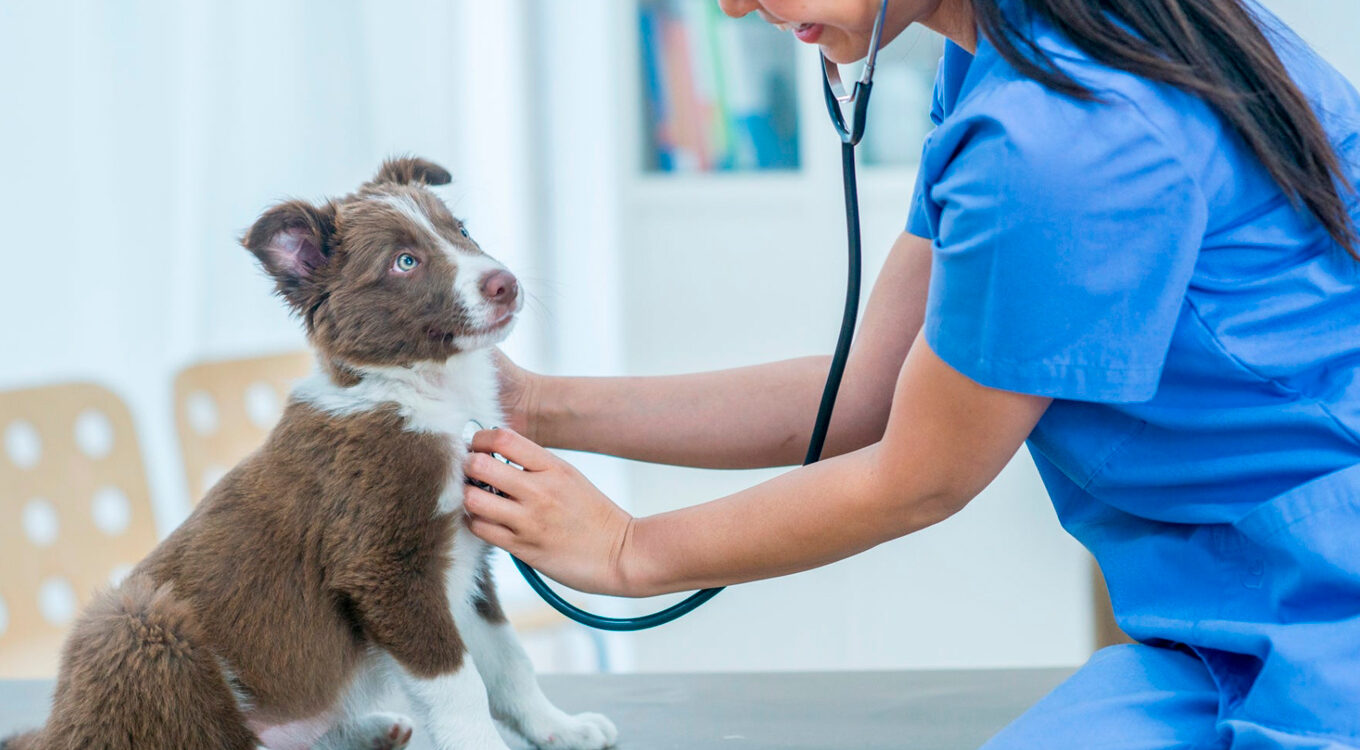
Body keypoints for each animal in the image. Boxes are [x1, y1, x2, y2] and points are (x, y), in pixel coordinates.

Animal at [2, 158, 620, 750]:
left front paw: (560, 728)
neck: (425, 394)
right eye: (404, 262)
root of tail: (60, 727)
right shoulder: (385, 569)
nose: (506, 284)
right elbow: (459, 684)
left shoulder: (470, 562)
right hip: (140, 624)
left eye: (461, 231)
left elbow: (510, 660)